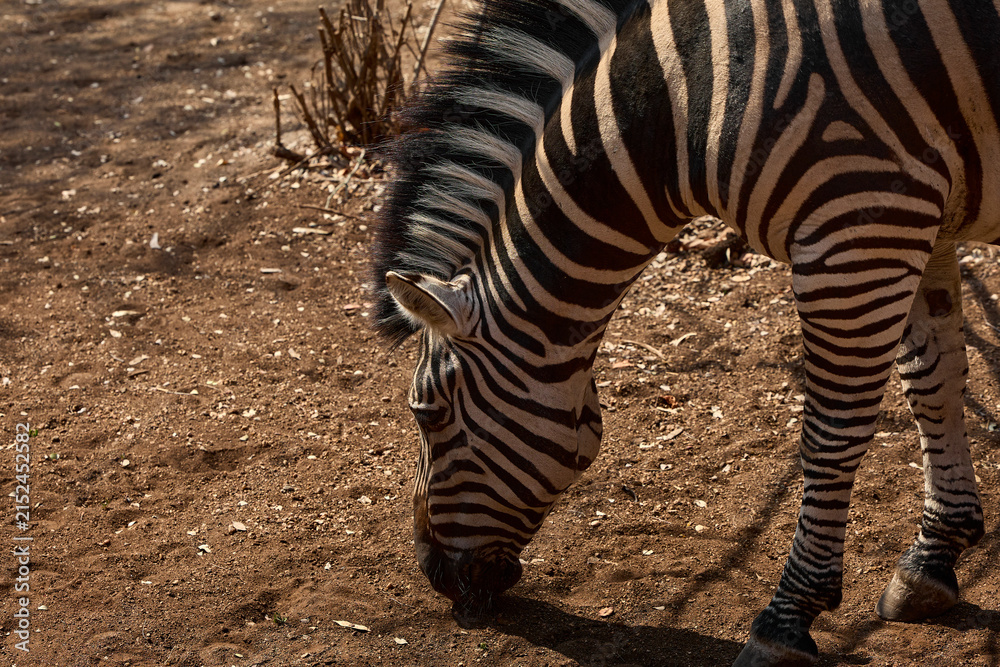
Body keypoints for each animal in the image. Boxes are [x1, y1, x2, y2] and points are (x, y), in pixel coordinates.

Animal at [371, 0, 998, 663]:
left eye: (428, 414)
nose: (433, 574)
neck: (685, 101)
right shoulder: (920, 218)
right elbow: (934, 383)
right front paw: (933, 560)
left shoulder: (858, 225)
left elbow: (831, 435)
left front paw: (788, 618)